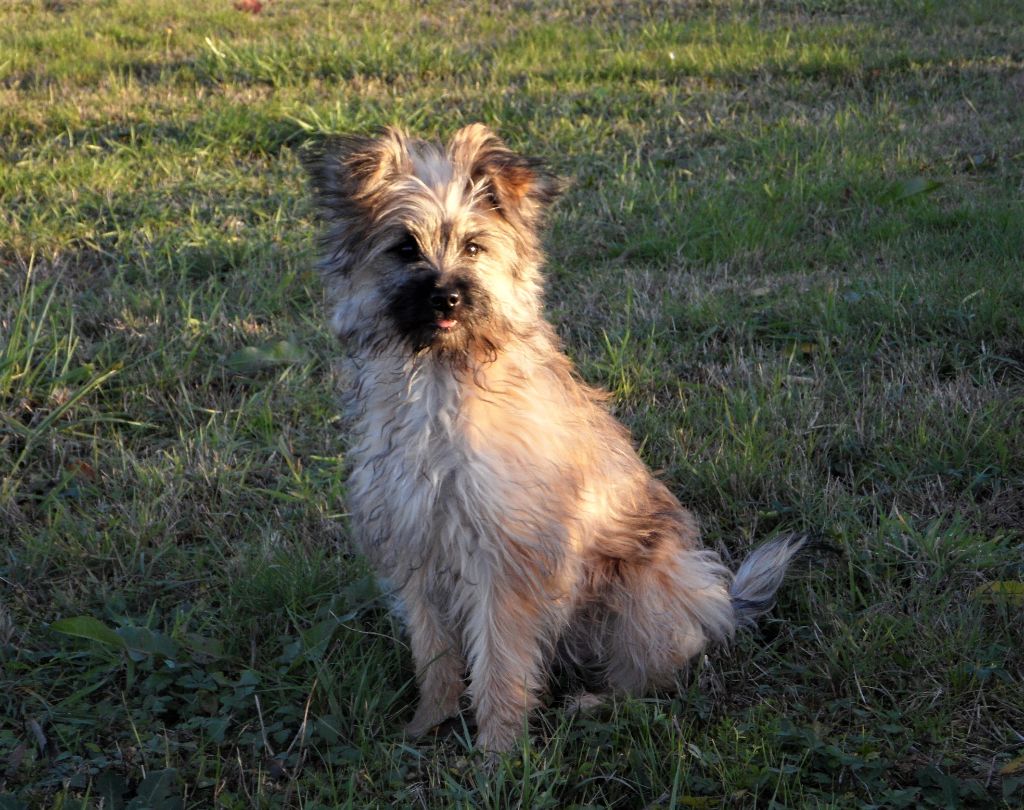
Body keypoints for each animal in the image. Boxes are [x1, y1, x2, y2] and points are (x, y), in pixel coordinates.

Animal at [303, 124, 806, 753]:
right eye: (404, 248)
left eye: (474, 246)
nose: (446, 296)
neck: (444, 378)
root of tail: (718, 606)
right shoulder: (416, 543)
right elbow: (434, 654)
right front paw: (429, 723)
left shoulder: (505, 558)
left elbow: (500, 663)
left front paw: (497, 753)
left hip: (641, 588)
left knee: (653, 673)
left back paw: (594, 702)